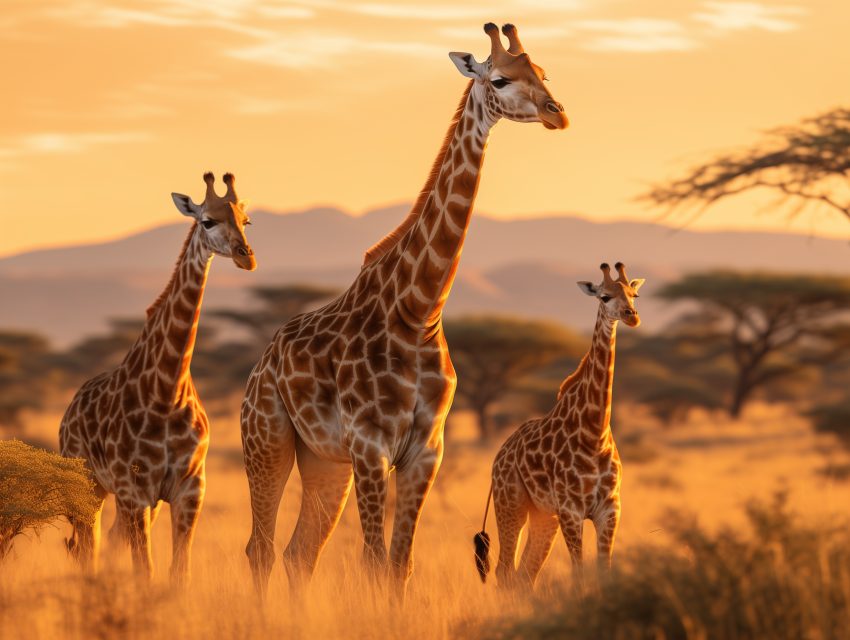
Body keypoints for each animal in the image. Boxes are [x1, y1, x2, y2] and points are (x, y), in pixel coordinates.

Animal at [59, 172, 256, 583]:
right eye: (207, 221)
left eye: (247, 221)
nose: (246, 256)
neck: (167, 390)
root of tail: (68, 411)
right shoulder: (134, 489)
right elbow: (144, 571)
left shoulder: (189, 489)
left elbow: (178, 574)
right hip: (87, 485)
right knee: (87, 550)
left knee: (104, 543)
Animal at [240, 22, 568, 603]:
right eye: (501, 79)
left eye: (543, 72)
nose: (557, 112)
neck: (418, 312)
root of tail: (258, 370)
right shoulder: (371, 445)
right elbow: (374, 563)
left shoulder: (425, 450)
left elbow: (401, 564)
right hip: (268, 441)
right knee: (260, 550)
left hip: (324, 462)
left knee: (299, 554)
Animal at [473, 263, 645, 590]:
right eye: (604, 297)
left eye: (634, 294)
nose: (632, 316)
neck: (595, 434)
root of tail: (499, 454)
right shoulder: (571, 511)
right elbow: (579, 574)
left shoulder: (610, 509)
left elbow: (604, 572)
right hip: (511, 504)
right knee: (505, 571)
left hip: (542, 515)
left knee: (525, 574)